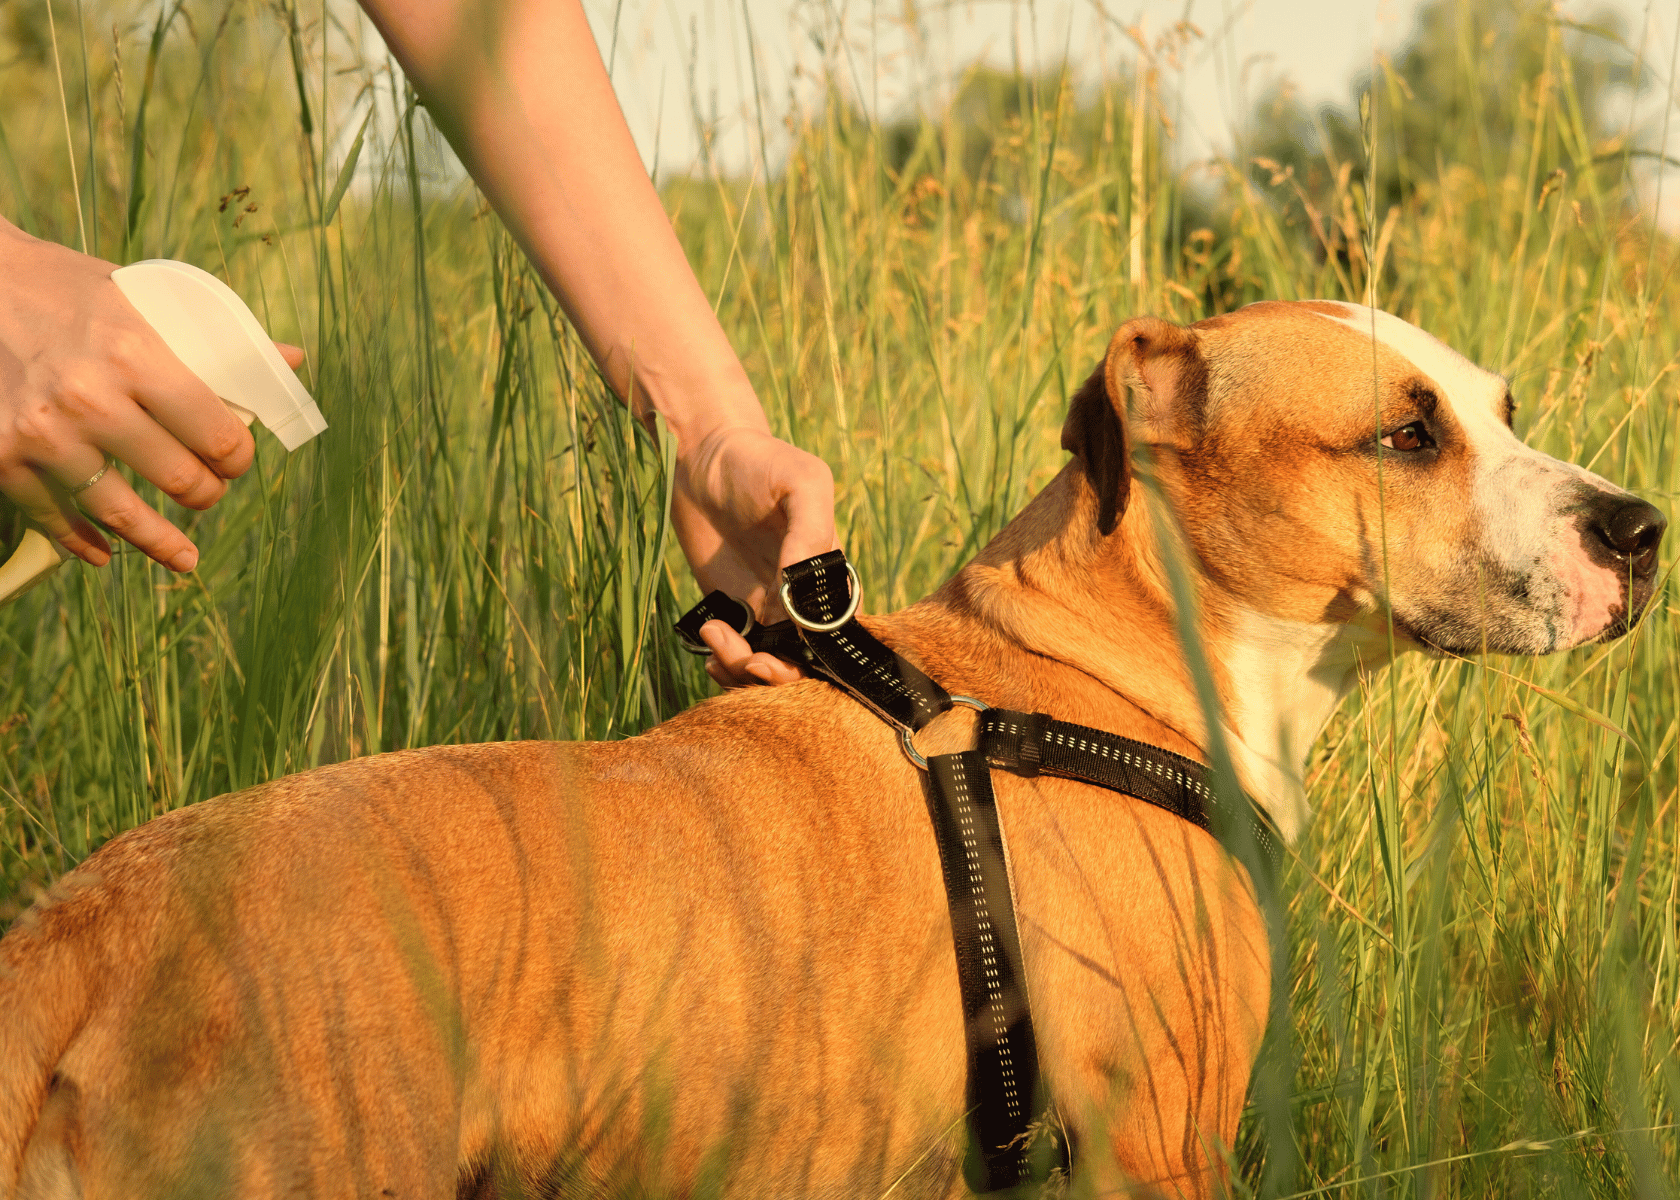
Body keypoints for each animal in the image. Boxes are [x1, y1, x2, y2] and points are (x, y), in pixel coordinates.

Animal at [0, 300, 1659, 1196]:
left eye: (1504, 409)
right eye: (1408, 434)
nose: (1641, 527)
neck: (1112, 660)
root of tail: (85, 925)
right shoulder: (1158, 1146)